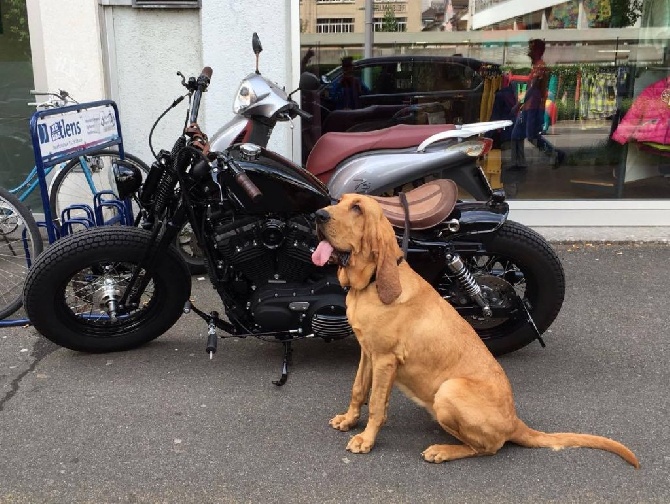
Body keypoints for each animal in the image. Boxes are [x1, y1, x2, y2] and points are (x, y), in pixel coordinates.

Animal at [312, 194, 644, 468]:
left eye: (357, 208)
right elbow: (358, 390)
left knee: (490, 447)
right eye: (339, 201)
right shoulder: (368, 352)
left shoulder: (385, 360)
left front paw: (366, 440)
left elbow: (377, 405)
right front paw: (349, 420)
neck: (368, 284)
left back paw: (443, 450)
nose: (318, 215)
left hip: (449, 390)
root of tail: (515, 422)